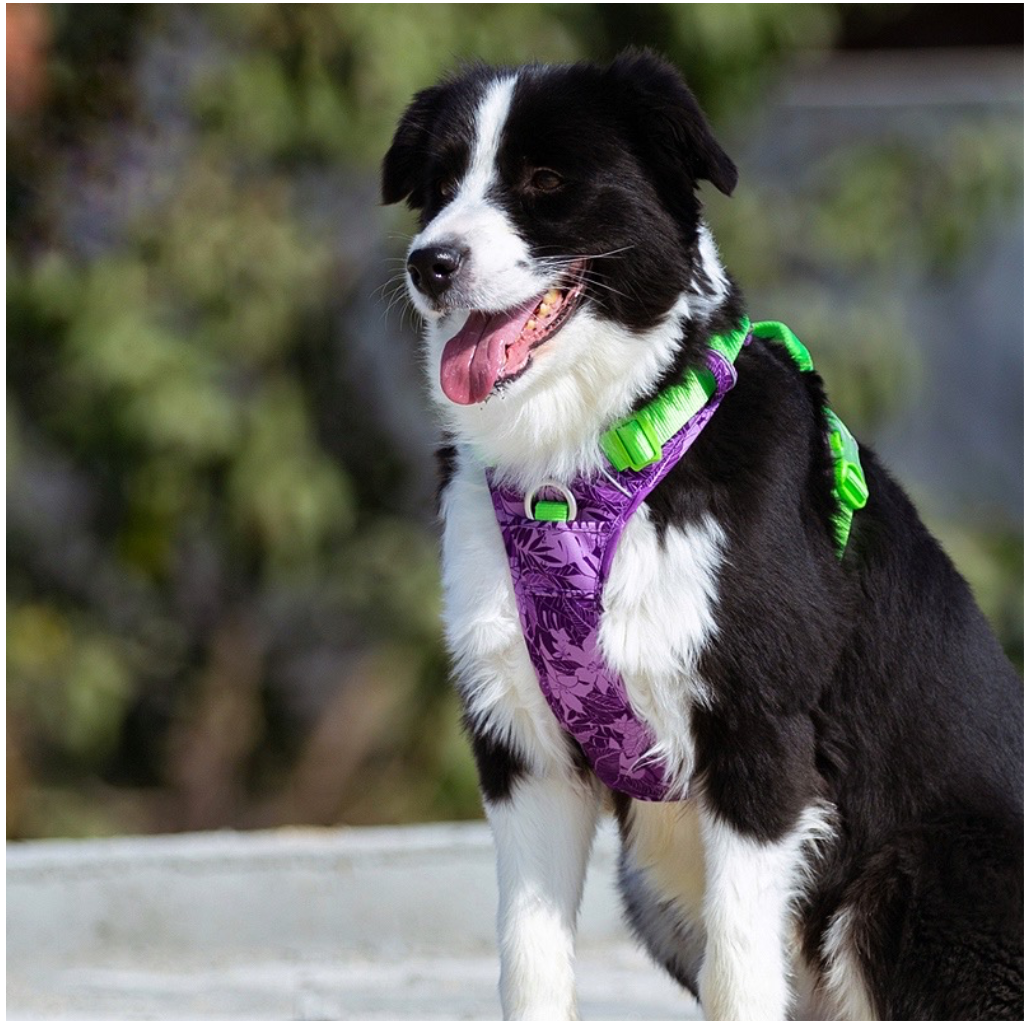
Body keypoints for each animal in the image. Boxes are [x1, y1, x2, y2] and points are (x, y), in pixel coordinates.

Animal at [382, 51, 1024, 1019]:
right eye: (440, 183)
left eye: (545, 181)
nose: (431, 264)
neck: (583, 465)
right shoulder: (524, 749)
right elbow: (529, 963)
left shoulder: (761, 742)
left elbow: (739, 972)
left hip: (914, 879)